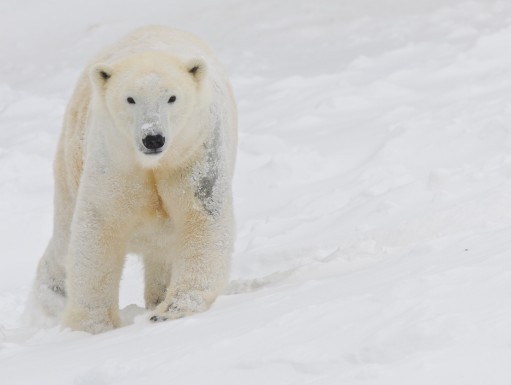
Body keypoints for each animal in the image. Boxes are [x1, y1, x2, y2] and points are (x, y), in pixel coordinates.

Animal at [31, 25, 238, 332]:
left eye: (171, 97)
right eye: (130, 98)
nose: (153, 138)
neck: (153, 164)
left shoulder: (196, 150)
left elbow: (203, 216)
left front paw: (169, 311)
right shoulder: (115, 157)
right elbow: (100, 224)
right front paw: (95, 325)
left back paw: (156, 296)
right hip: (71, 159)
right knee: (63, 239)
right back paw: (52, 298)